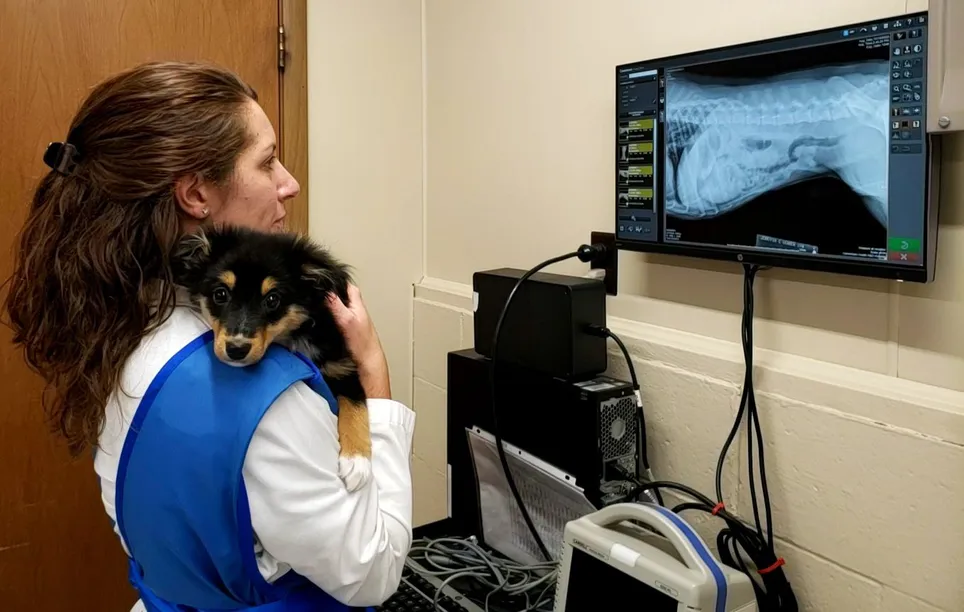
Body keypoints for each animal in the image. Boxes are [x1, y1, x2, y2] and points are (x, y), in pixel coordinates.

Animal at [173, 225, 372, 492]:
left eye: (272, 299)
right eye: (220, 294)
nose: (236, 348)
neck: (290, 336)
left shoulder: (343, 367)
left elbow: (356, 406)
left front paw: (357, 462)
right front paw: (357, 462)